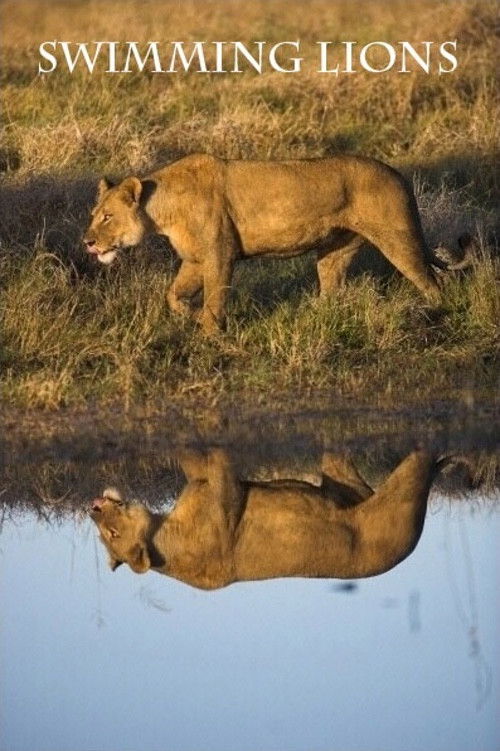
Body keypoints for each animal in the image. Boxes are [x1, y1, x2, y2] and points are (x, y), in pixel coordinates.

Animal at [84, 153, 452, 334]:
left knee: (432, 281)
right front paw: (191, 317)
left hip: (398, 239)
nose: (87, 242)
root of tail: (398, 174)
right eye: (93, 215)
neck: (161, 210)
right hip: (335, 251)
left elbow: (215, 298)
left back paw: (435, 314)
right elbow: (173, 294)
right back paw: (319, 319)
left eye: (107, 217)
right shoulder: (195, 259)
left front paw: (209, 336)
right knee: (332, 290)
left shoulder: (220, 256)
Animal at [89, 448, 442, 590]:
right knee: (421, 461)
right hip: (400, 496)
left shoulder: (207, 484)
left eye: (109, 534)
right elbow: (220, 462)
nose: (92, 510)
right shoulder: (227, 496)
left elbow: (192, 458)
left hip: (344, 484)